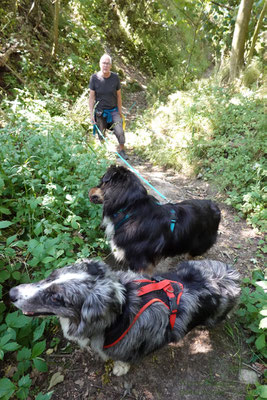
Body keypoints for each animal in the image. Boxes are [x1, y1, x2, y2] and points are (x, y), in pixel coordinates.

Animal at [9, 258, 241, 376]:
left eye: (57, 298)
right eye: (50, 276)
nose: (11, 293)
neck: (118, 315)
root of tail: (231, 273)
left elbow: (124, 361)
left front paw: (119, 369)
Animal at [89, 165, 221, 272]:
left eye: (101, 181)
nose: (89, 190)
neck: (130, 208)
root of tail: (215, 207)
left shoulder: (140, 260)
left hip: (200, 242)